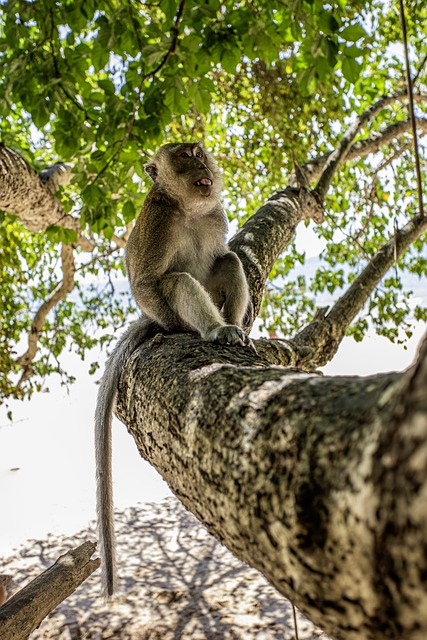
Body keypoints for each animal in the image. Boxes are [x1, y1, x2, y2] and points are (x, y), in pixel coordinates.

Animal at [95, 142, 252, 596]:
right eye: (183, 157)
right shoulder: (156, 224)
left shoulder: (216, 215)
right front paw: (172, 324)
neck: (189, 208)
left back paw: (235, 328)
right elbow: (147, 281)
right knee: (178, 281)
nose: (200, 163)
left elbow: (223, 254)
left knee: (228, 261)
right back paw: (212, 329)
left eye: (197, 152)